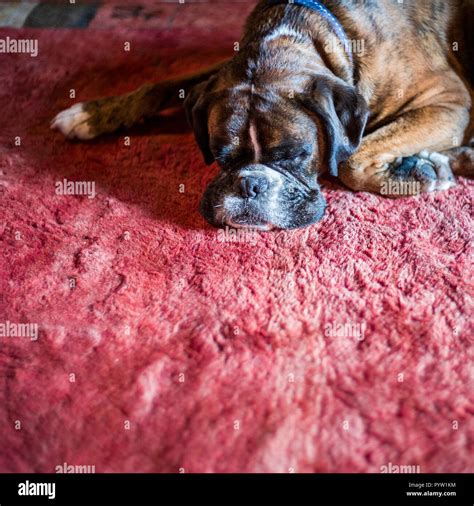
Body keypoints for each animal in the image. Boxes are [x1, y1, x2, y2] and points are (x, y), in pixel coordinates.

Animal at [51, 0, 474, 229]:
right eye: (221, 157)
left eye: (295, 157)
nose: (250, 185)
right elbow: (162, 84)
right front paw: (90, 114)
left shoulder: (450, 100)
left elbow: (351, 159)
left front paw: (413, 174)